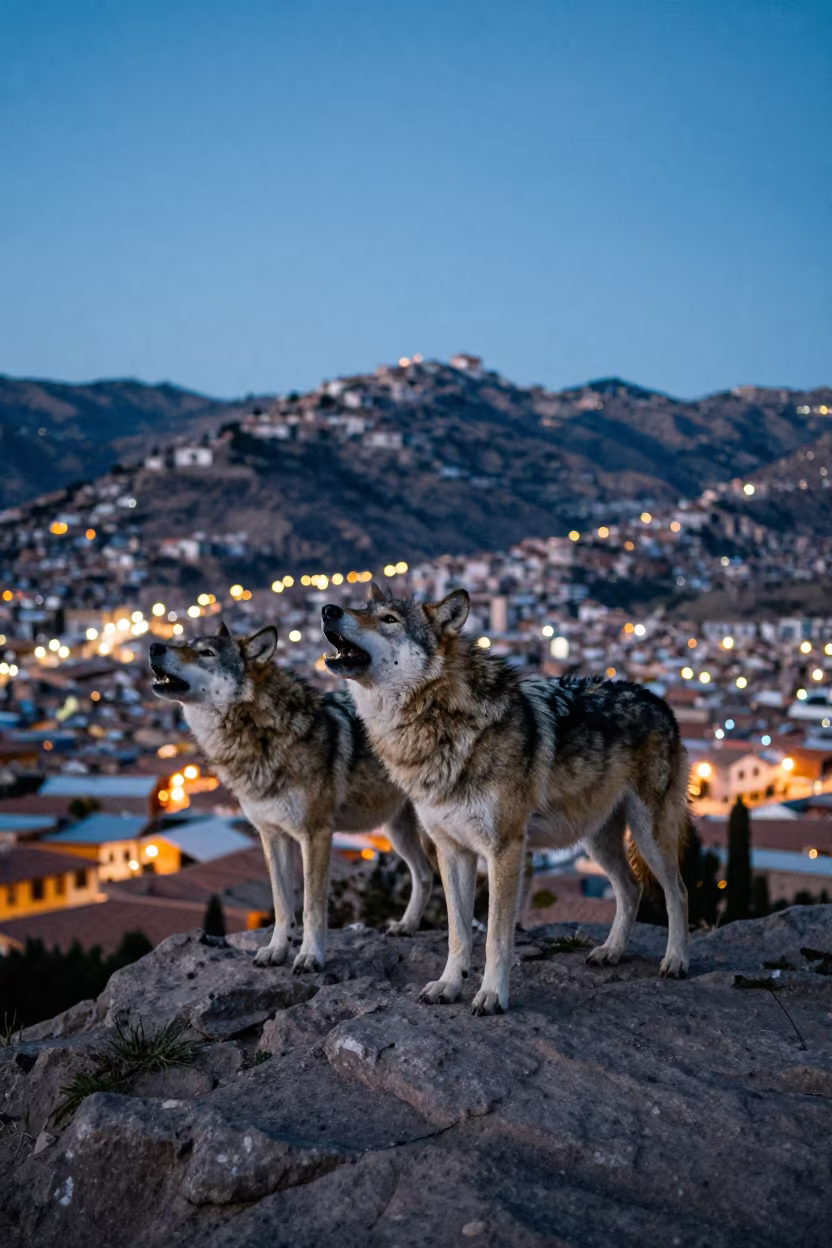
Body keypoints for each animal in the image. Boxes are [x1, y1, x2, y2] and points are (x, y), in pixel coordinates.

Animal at [148, 621, 433, 972]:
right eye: (186, 643)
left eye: (207, 653)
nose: (154, 648)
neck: (260, 736)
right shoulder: (273, 835)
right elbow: (282, 903)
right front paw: (276, 950)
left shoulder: (316, 835)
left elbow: (311, 906)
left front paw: (310, 956)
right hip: (397, 832)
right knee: (424, 874)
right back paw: (406, 926)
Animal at [321, 586, 690, 1014]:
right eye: (364, 608)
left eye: (389, 619)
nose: (328, 610)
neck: (439, 722)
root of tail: (658, 700)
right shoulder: (452, 850)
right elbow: (458, 932)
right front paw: (448, 985)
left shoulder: (505, 849)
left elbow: (495, 936)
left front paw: (492, 995)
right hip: (596, 840)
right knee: (630, 889)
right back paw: (610, 951)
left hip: (649, 834)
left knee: (676, 891)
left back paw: (676, 960)